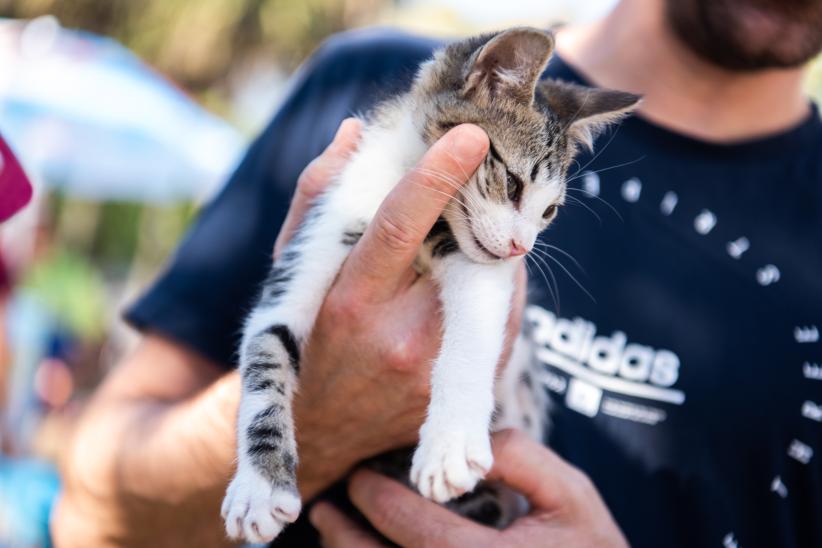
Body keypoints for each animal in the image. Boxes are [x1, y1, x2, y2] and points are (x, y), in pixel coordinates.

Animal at [222, 27, 640, 540]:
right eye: (513, 184)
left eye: (549, 212)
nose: (521, 248)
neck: (400, 180)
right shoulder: (318, 235)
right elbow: (265, 355)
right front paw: (259, 488)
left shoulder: (478, 264)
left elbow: (473, 337)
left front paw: (450, 443)